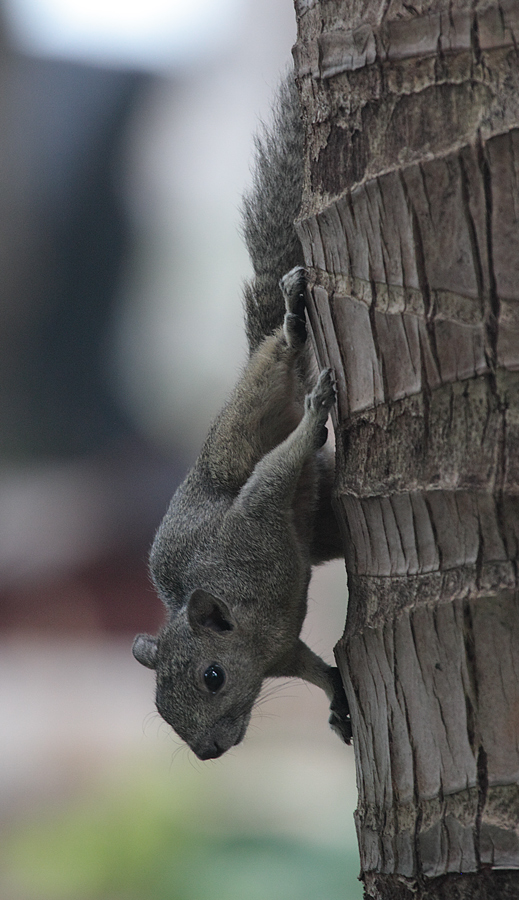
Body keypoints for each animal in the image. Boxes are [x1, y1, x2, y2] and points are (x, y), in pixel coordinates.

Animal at [132, 72, 352, 760]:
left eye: (213, 677)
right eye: (161, 709)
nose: (207, 753)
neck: (253, 622)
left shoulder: (253, 524)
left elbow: (274, 473)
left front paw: (313, 419)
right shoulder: (282, 650)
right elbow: (312, 666)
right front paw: (337, 696)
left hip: (243, 416)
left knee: (279, 360)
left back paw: (293, 319)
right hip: (322, 523)